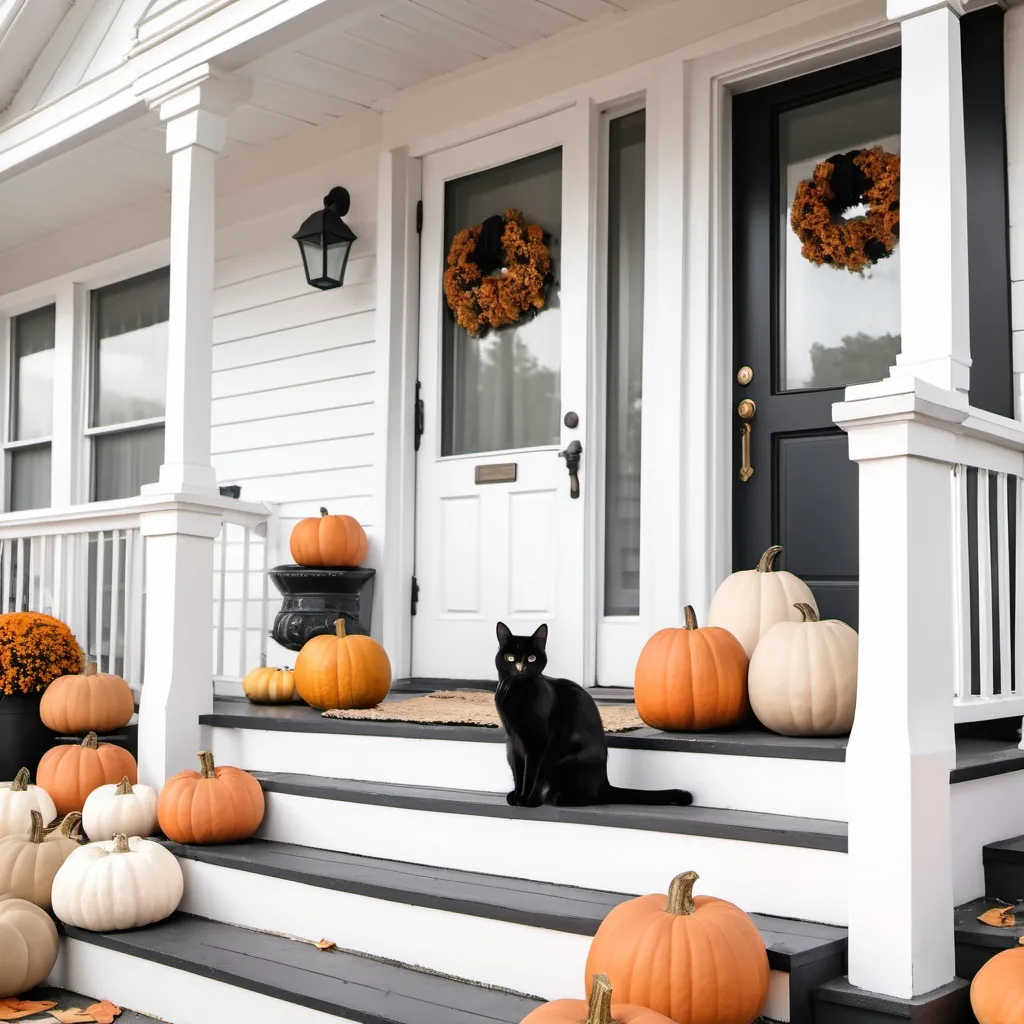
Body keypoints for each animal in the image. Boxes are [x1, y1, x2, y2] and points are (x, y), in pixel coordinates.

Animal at [491, 622, 692, 806]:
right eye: (510, 658)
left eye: (531, 658)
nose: (520, 667)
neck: (518, 694)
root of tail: (604, 783)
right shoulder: (514, 740)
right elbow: (519, 771)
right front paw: (517, 797)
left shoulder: (536, 742)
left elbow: (531, 775)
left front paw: (527, 800)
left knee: (587, 796)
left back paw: (557, 798)